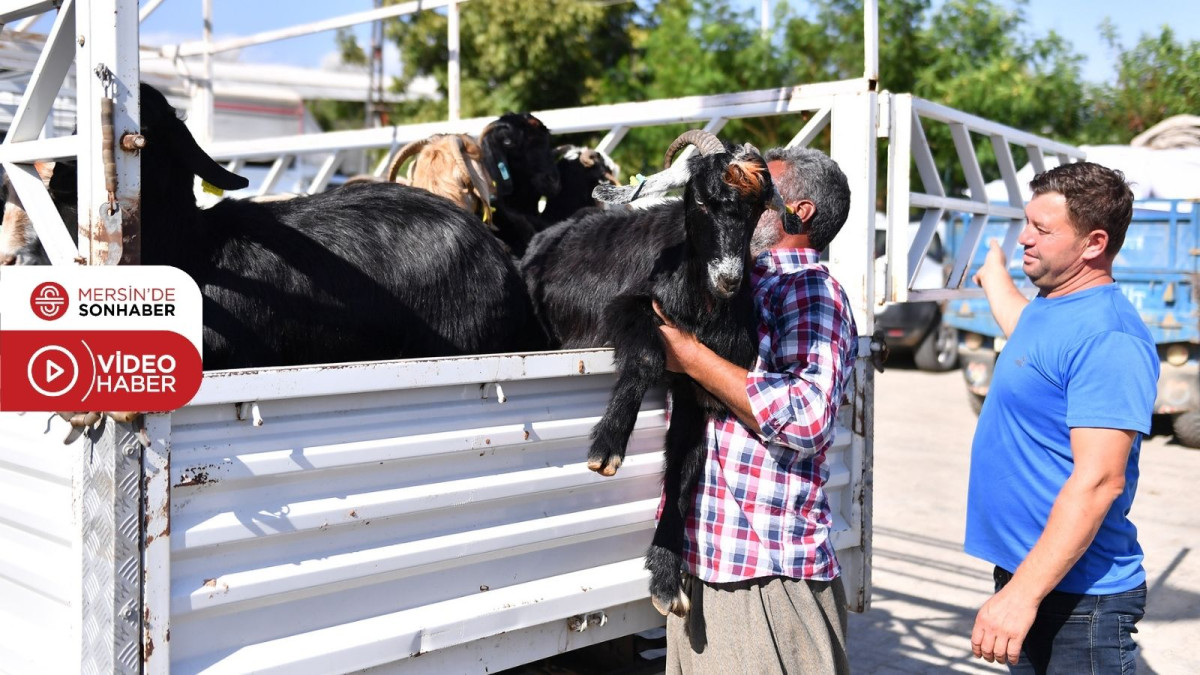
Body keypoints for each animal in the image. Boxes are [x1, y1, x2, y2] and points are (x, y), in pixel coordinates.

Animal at [518, 127, 782, 614]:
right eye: (701, 201)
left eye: (757, 209)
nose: (730, 280)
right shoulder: (625, 308)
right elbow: (645, 357)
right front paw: (608, 447)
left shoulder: (700, 387)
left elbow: (684, 467)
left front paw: (664, 576)